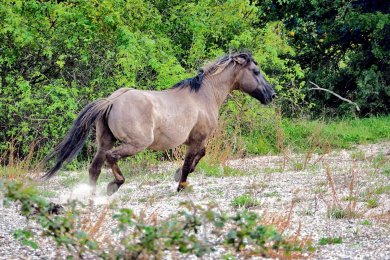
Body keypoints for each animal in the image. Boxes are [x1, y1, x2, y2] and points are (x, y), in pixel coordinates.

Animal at [42, 52, 274, 195]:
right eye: (256, 72)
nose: (271, 94)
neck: (204, 96)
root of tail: (113, 100)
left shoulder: (196, 140)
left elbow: (200, 155)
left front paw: (179, 176)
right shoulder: (197, 138)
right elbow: (190, 161)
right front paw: (181, 184)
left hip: (105, 141)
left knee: (94, 169)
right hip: (136, 144)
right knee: (111, 158)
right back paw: (114, 185)